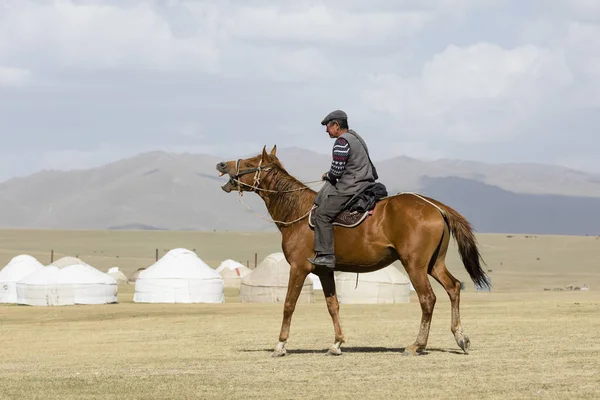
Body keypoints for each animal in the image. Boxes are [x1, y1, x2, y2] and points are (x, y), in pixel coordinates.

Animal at [218, 146, 490, 356]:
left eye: (251, 163)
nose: (221, 164)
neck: (296, 213)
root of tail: (435, 205)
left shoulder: (298, 268)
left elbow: (288, 304)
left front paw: (280, 345)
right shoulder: (324, 271)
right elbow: (333, 305)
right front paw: (337, 343)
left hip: (415, 265)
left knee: (428, 299)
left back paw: (417, 345)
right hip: (434, 264)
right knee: (453, 288)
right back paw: (460, 338)